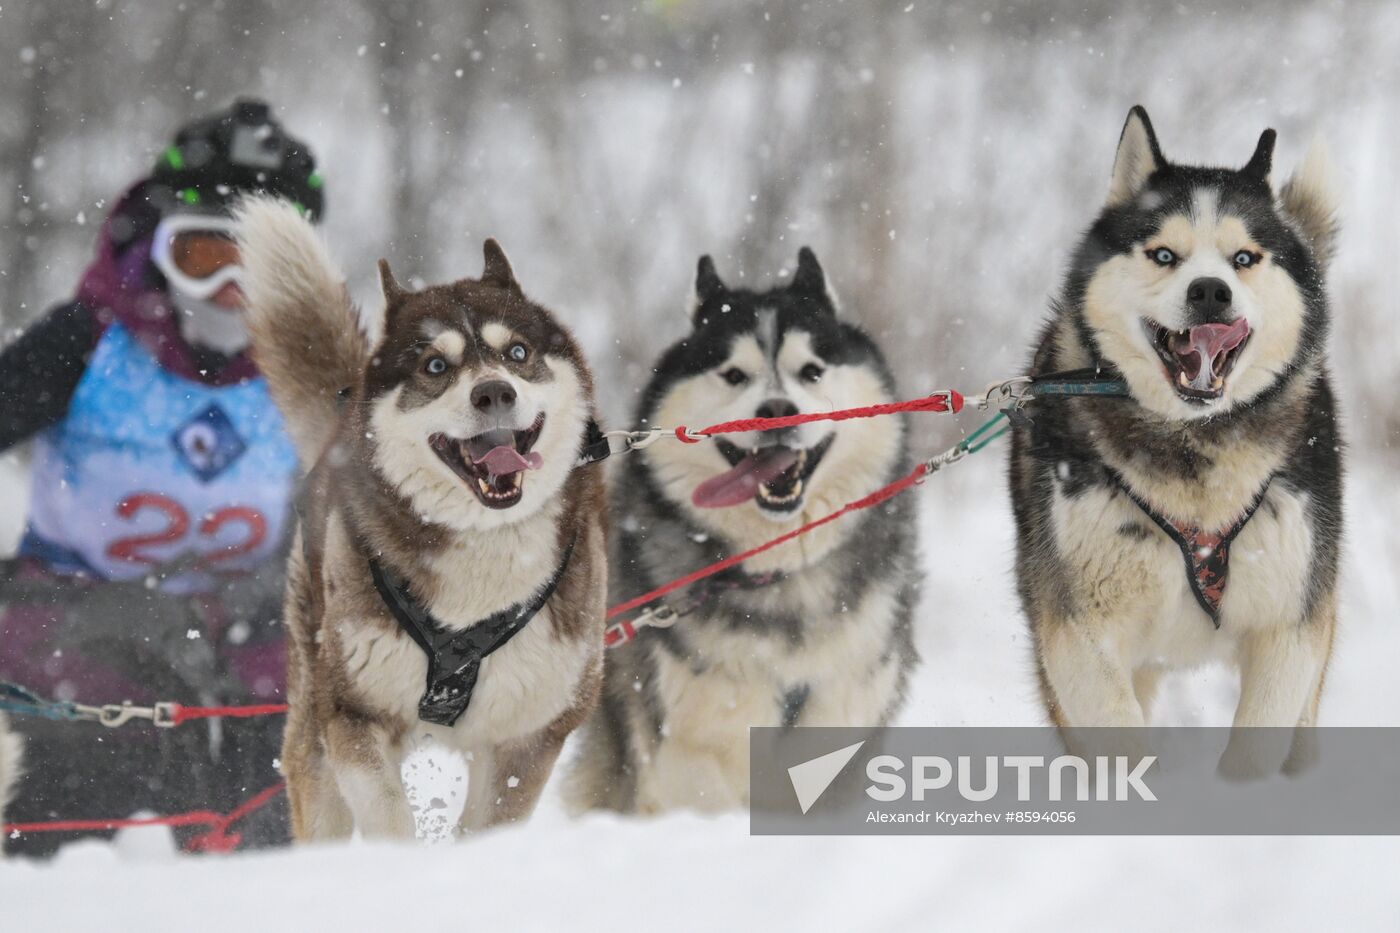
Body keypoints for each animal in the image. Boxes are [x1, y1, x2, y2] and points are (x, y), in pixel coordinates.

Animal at [236, 196, 607, 834]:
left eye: (518, 353)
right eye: (435, 366)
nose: (494, 393)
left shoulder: (529, 735)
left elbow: (489, 823)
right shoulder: (352, 713)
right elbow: (390, 819)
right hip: (315, 729)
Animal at [1013, 109, 1338, 773]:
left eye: (1244, 257)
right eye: (1164, 254)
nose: (1210, 290)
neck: (1195, 447)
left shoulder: (1290, 624)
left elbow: (1257, 743)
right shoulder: (1077, 628)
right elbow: (1116, 736)